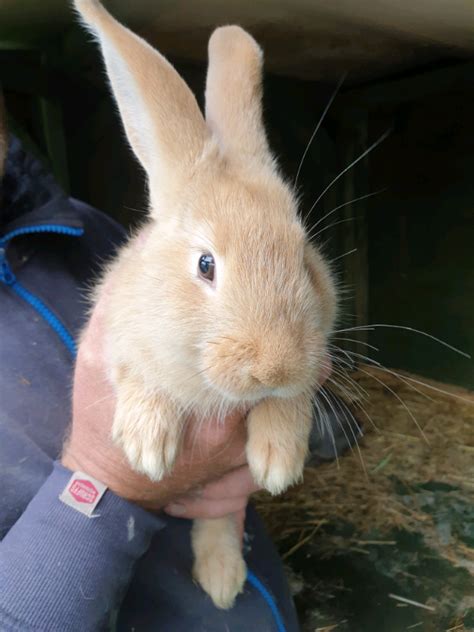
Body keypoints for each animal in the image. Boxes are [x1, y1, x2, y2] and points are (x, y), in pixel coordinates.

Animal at [74, 0, 336, 612]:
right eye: (206, 265)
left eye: (303, 258)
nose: (275, 366)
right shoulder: (117, 336)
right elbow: (141, 377)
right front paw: (147, 445)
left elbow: (290, 402)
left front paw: (278, 459)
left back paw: (222, 580)